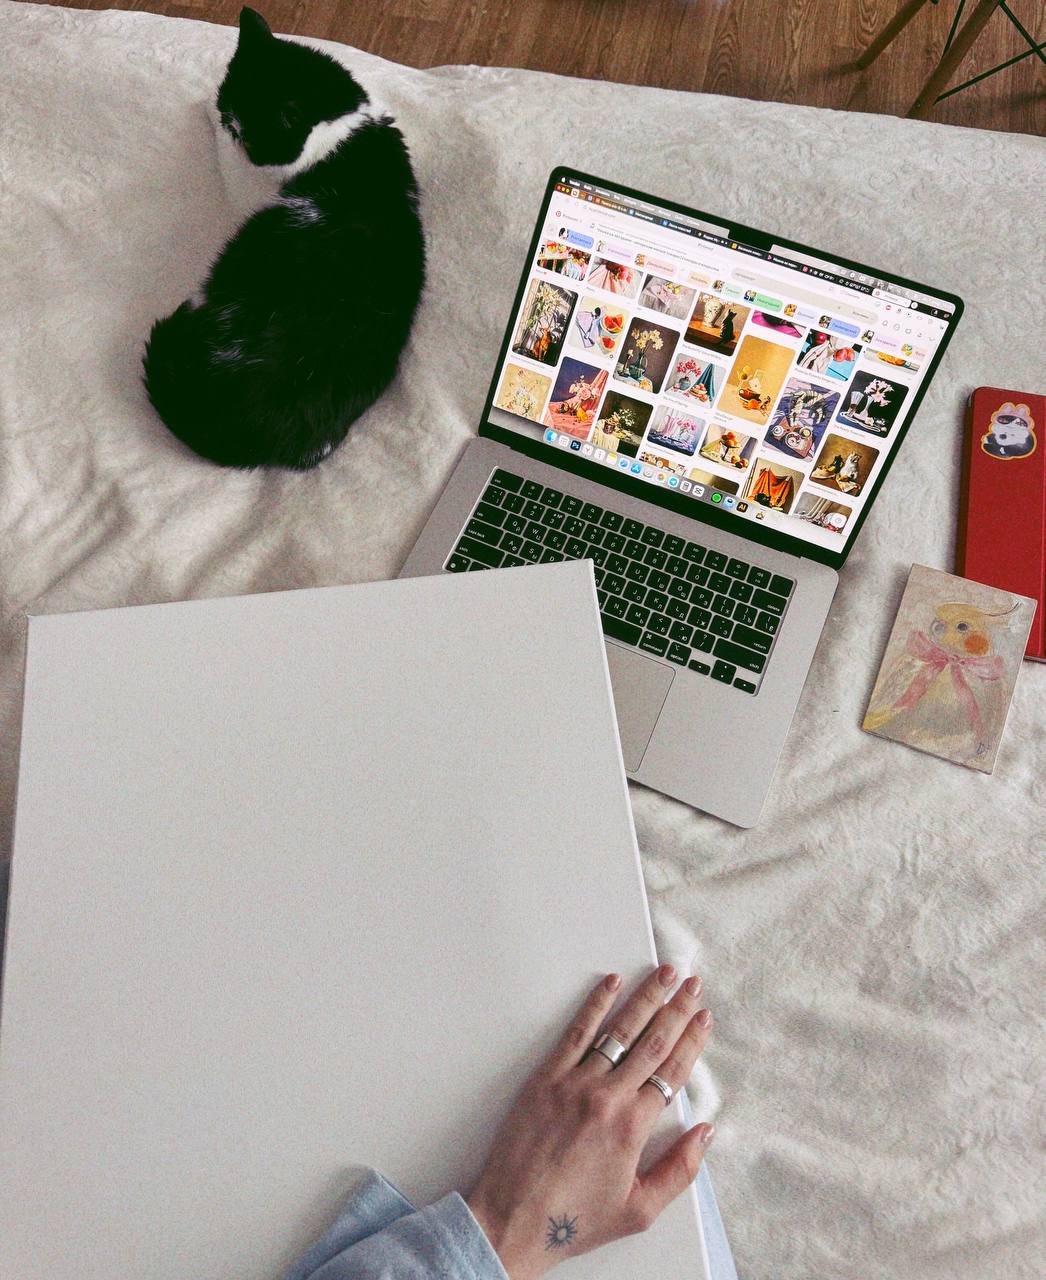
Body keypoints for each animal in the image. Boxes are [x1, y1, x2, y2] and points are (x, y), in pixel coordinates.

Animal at [143, 7, 425, 469]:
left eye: (245, 133)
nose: (228, 120)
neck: (342, 133)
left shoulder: (254, 186)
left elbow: (232, 169)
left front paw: (204, 114)